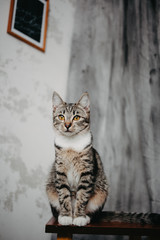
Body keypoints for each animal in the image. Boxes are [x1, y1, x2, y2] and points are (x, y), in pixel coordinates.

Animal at [46, 91, 109, 226]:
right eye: (61, 117)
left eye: (76, 117)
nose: (67, 125)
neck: (71, 145)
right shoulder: (60, 171)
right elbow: (64, 194)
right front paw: (66, 216)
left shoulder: (87, 171)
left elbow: (82, 195)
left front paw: (79, 217)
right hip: (50, 189)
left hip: (102, 192)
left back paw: (86, 217)